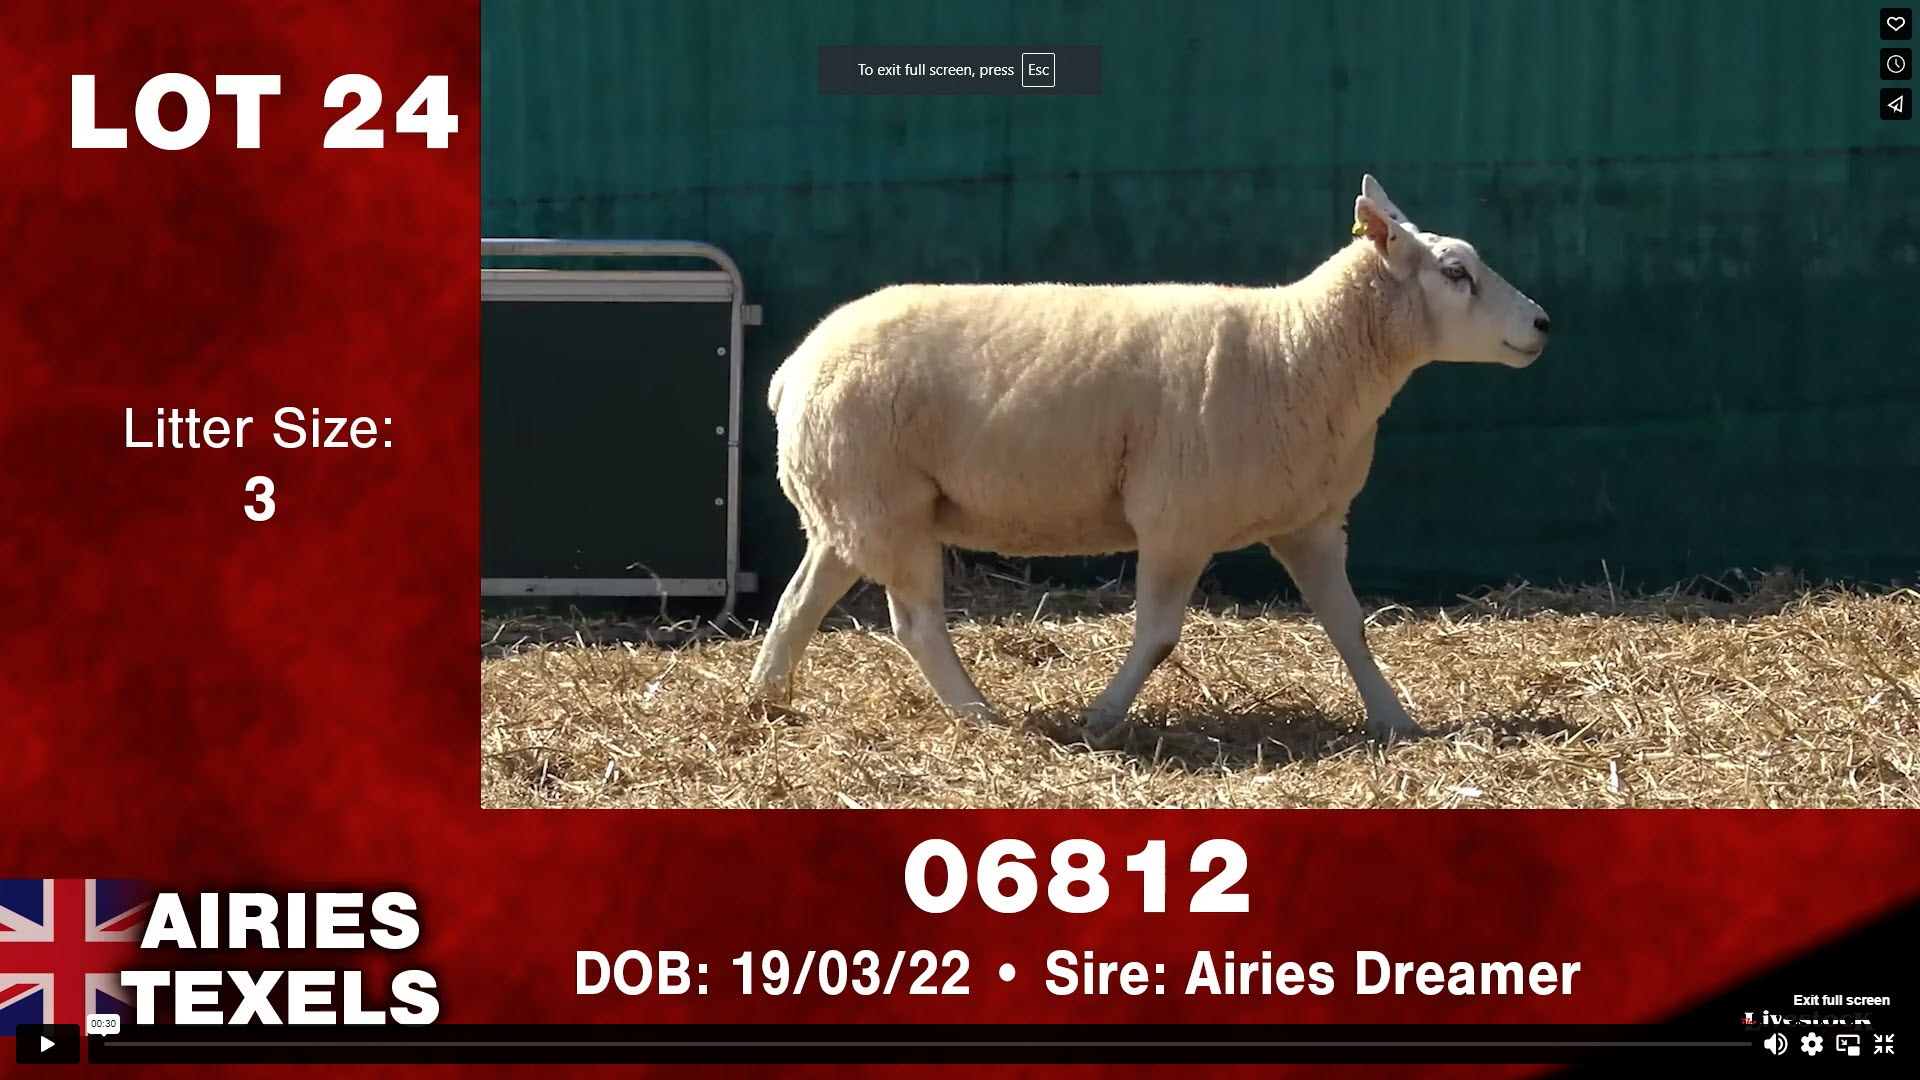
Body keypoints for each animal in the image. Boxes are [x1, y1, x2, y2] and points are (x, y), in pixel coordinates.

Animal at [746, 174, 1551, 744]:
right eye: (1456, 274)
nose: (1543, 323)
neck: (1298, 346)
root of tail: (792, 369)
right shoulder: (1176, 518)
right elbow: (1159, 635)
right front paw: (1102, 717)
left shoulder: (1311, 523)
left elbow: (1348, 625)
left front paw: (1396, 721)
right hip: (887, 502)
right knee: (915, 623)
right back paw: (979, 714)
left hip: (844, 507)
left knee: (799, 600)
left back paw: (765, 699)